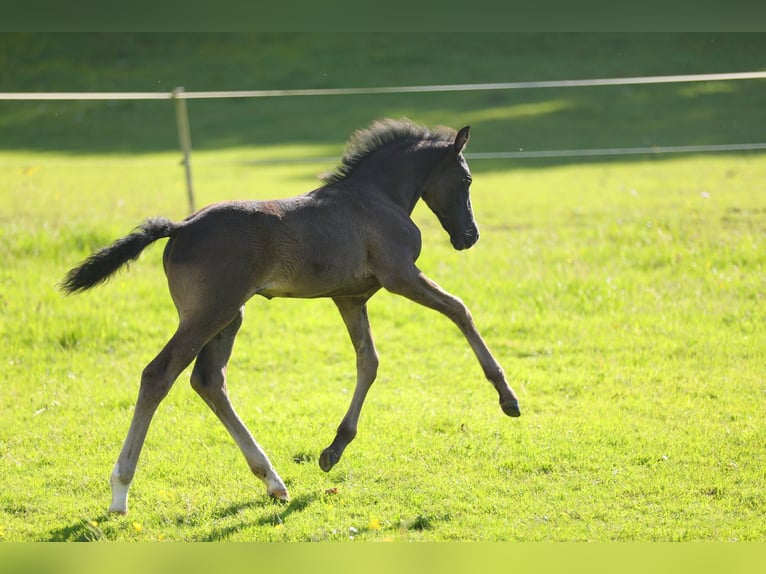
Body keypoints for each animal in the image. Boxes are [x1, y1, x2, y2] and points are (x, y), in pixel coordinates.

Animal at [60, 118, 521, 515]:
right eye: (467, 180)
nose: (469, 236)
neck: (376, 197)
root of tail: (181, 226)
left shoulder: (350, 297)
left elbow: (368, 362)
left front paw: (333, 449)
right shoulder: (400, 276)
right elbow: (460, 310)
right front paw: (508, 397)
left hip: (229, 316)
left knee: (208, 380)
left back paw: (273, 481)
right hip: (209, 313)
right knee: (159, 374)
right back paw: (120, 492)